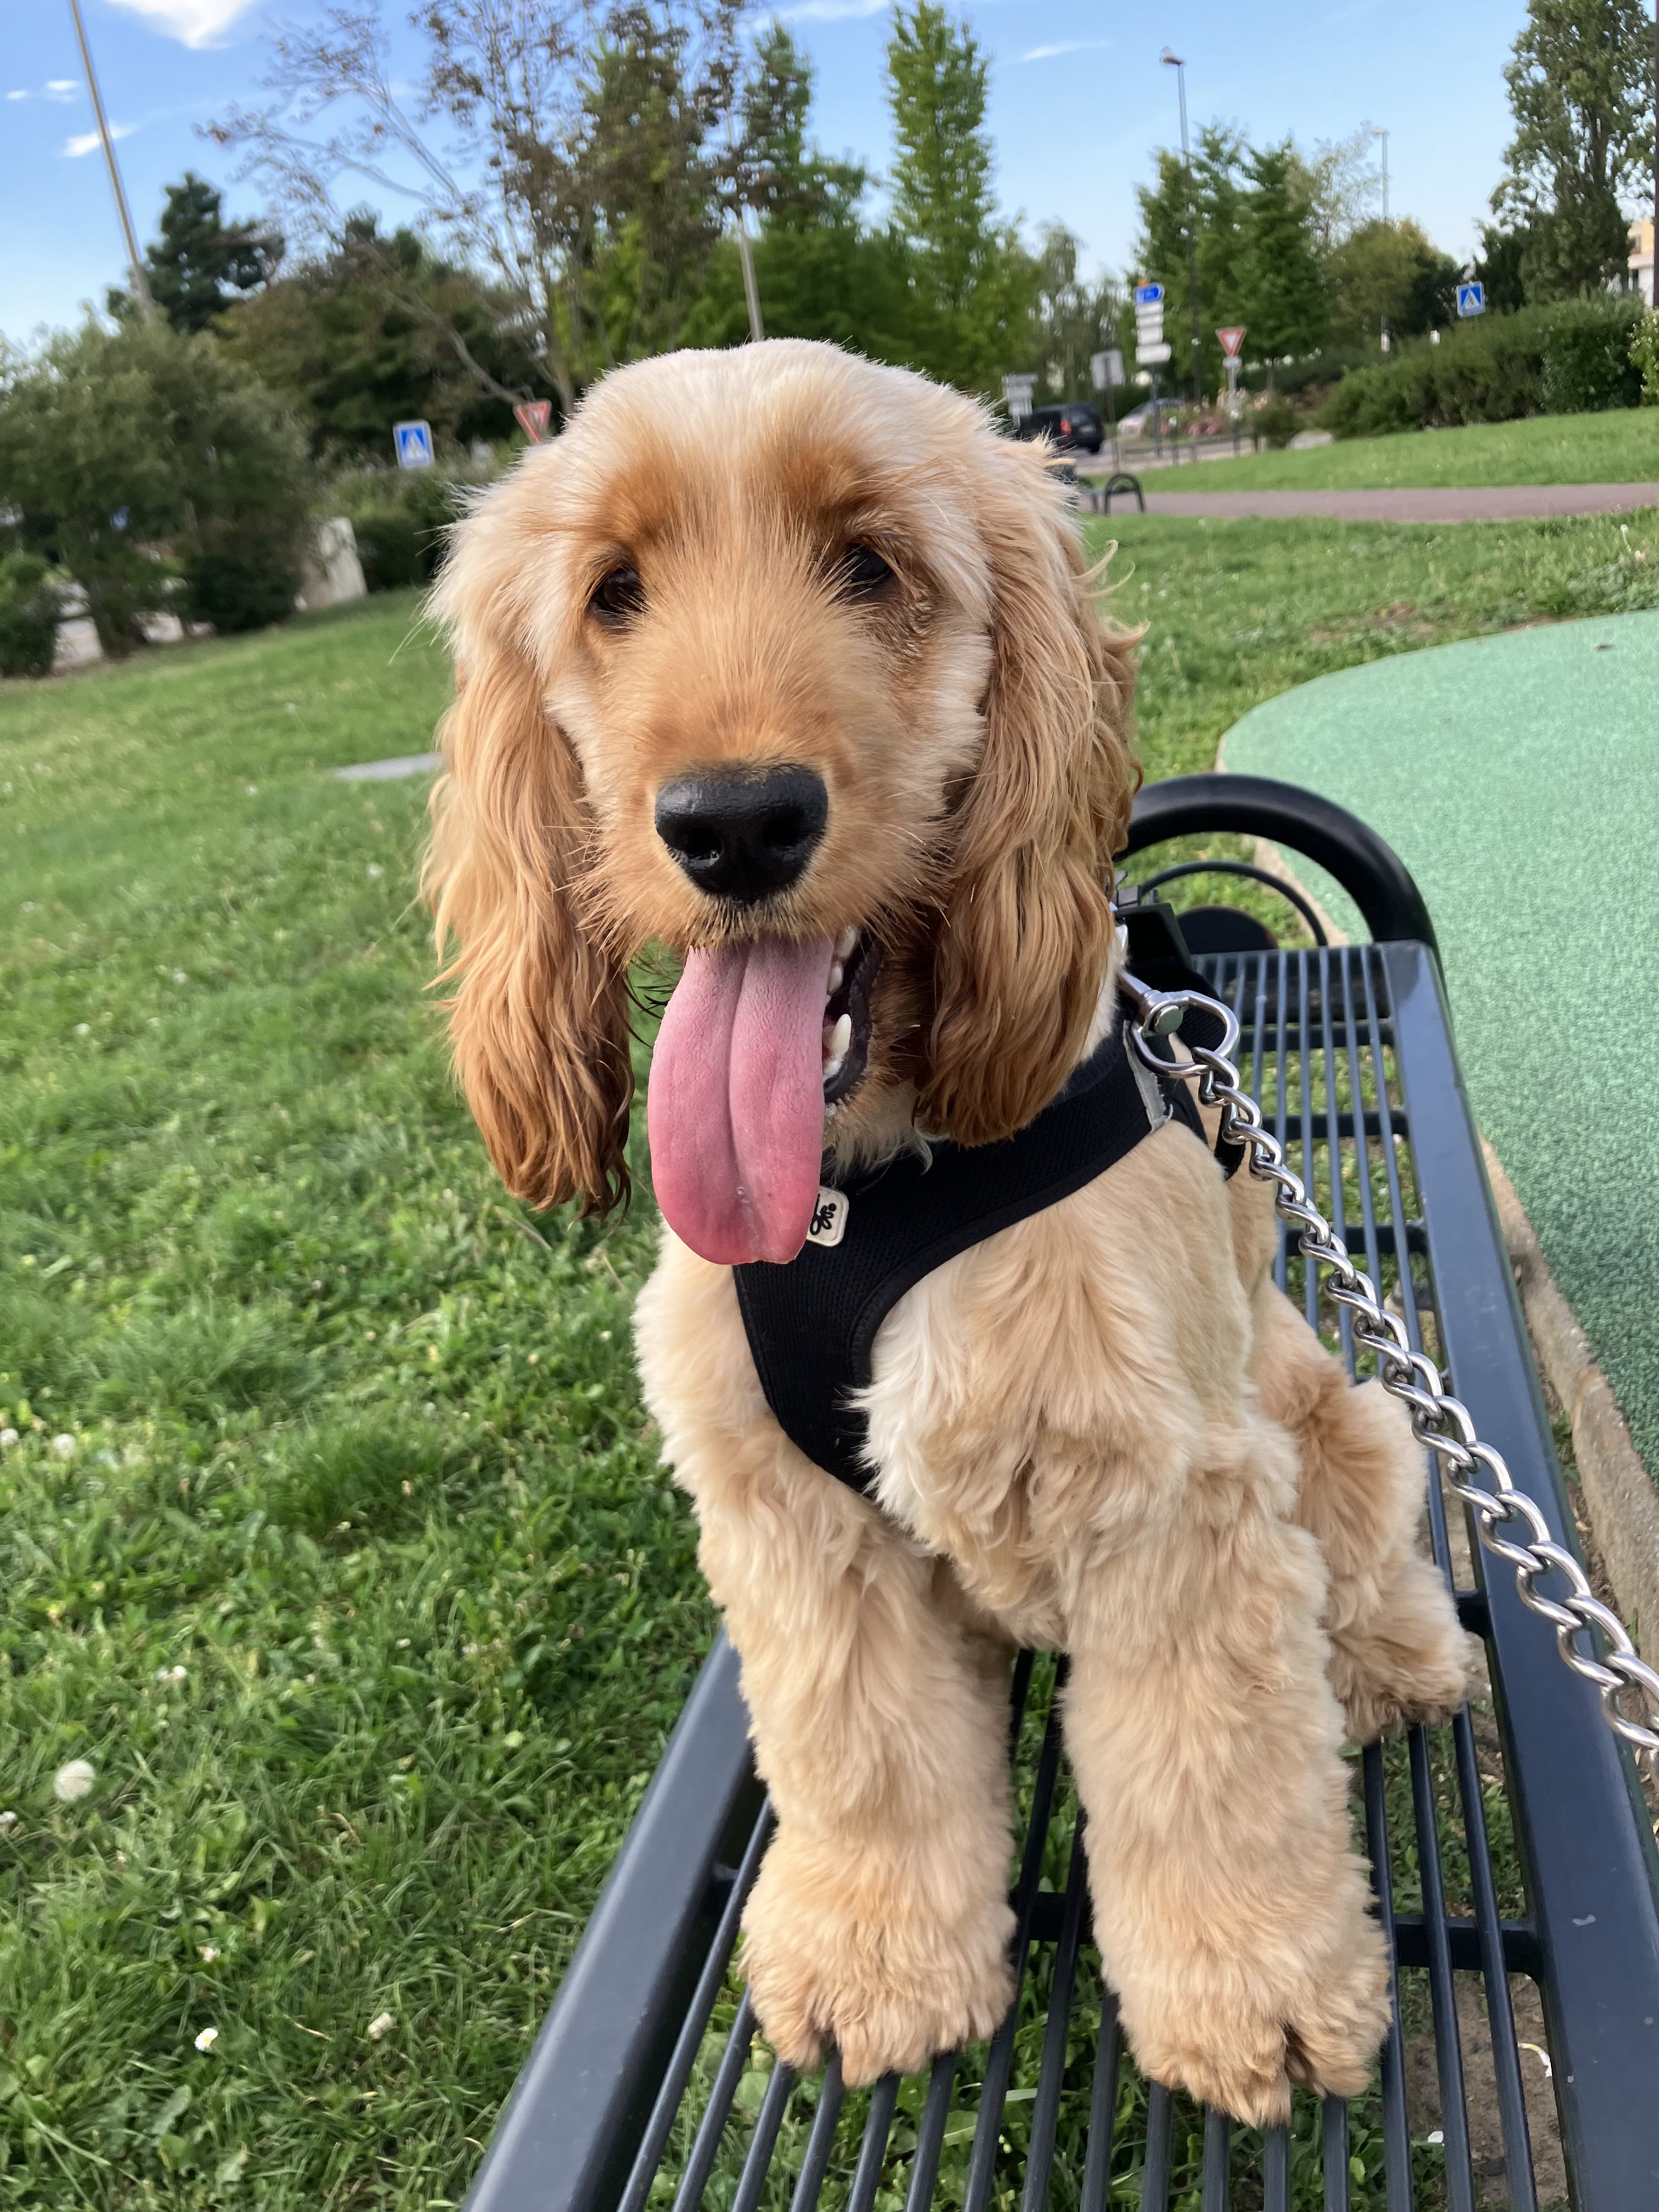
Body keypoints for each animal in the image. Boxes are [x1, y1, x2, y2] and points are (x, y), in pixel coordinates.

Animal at [423, 339, 1473, 2126]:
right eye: (615, 591)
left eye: (872, 565)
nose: (736, 823)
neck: (868, 1181)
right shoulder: (792, 1521)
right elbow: (863, 1755)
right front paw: (874, 1960)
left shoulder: (1169, 1503)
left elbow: (1215, 1770)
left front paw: (1257, 1995)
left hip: (1332, 1418)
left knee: (1376, 1555)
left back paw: (1401, 1666)